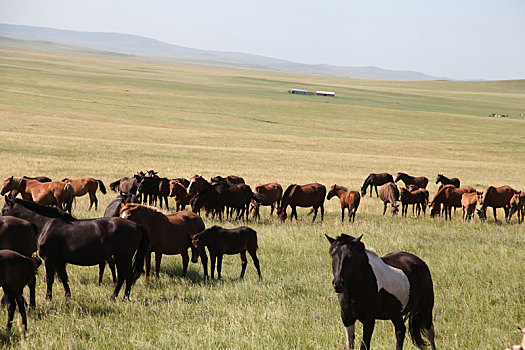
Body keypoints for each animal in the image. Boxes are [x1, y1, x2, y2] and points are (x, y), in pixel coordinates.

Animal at [2, 197, 147, 300]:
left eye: (4, 210)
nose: (1, 219)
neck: (46, 224)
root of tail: (136, 225)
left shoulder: (50, 259)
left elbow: (50, 279)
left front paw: (48, 298)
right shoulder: (59, 260)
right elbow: (64, 278)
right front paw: (68, 296)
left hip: (123, 257)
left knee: (127, 276)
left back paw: (123, 297)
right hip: (120, 257)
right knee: (123, 276)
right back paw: (115, 296)